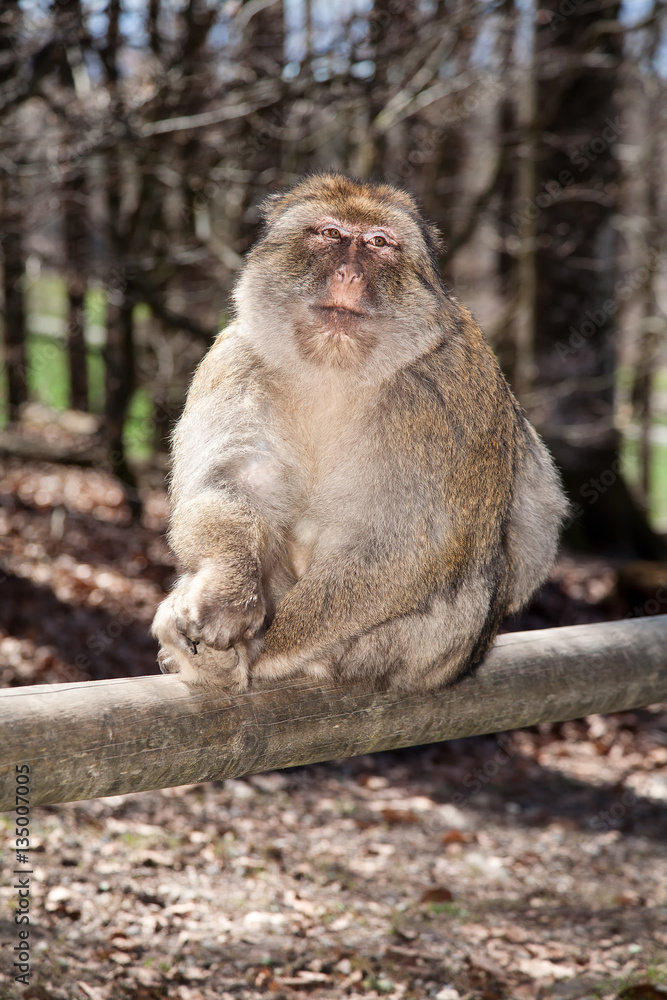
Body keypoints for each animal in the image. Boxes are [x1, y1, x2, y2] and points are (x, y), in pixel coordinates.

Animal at [152, 172, 569, 693]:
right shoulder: (236, 359)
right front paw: (226, 593)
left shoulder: (447, 386)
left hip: (439, 649)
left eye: (378, 243)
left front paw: (268, 648)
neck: (336, 371)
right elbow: (234, 482)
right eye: (330, 234)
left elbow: (409, 541)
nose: (348, 274)